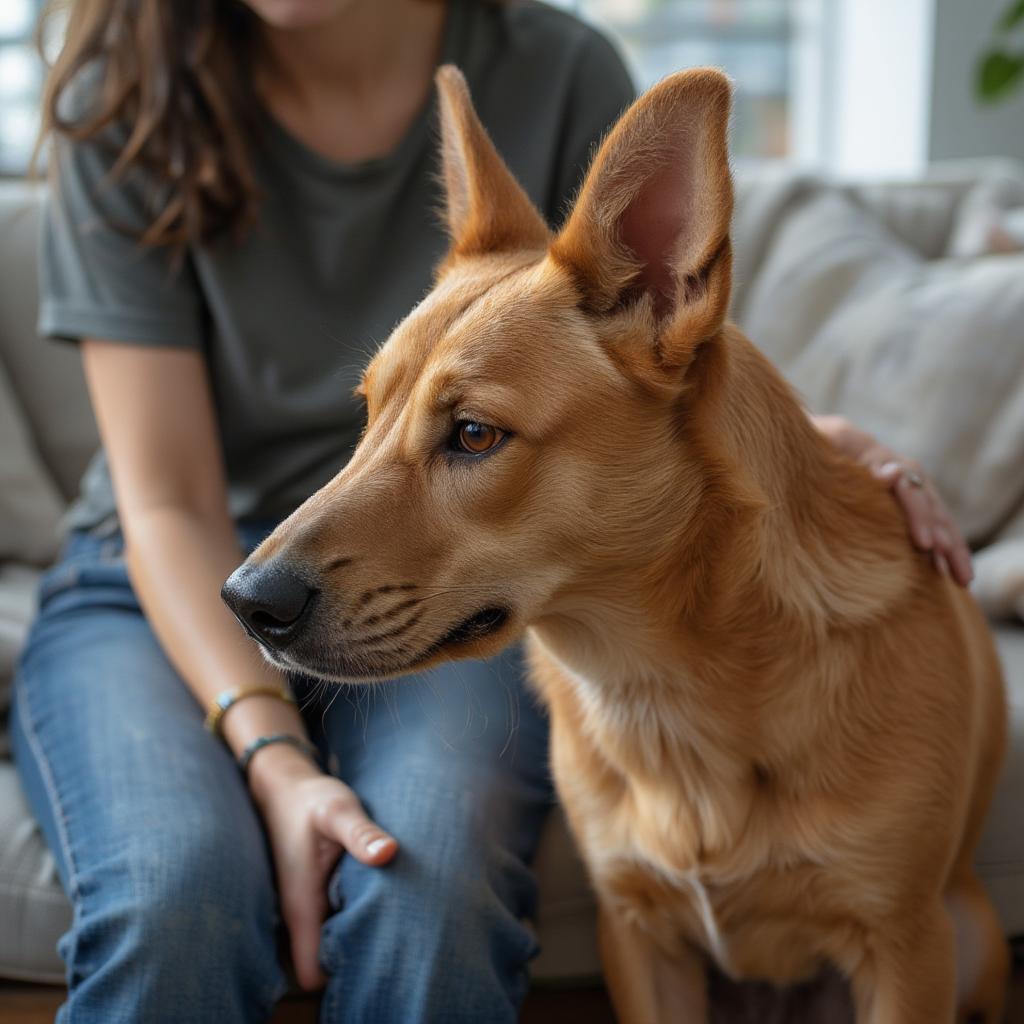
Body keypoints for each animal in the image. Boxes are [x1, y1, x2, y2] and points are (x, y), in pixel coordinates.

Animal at [222, 68, 1007, 1019]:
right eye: (367, 414)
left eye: (474, 435)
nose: (245, 603)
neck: (660, 691)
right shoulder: (635, 933)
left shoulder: (904, 949)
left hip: (970, 937)